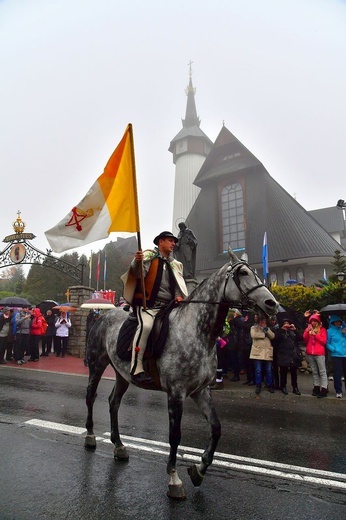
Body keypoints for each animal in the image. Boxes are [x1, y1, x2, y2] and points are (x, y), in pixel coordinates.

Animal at [85, 252, 280, 500]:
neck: (197, 332)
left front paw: (199, 469)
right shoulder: (176, 393)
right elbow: (175, 436)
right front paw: (174, 479)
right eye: (243, 273)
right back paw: (90, 436)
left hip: (122, 375)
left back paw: (119, 446)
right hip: (97, 364)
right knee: (91, 397)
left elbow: (216, 428)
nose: (272, 304)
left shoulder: (200, 391)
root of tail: (104, 314)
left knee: (113, 403)